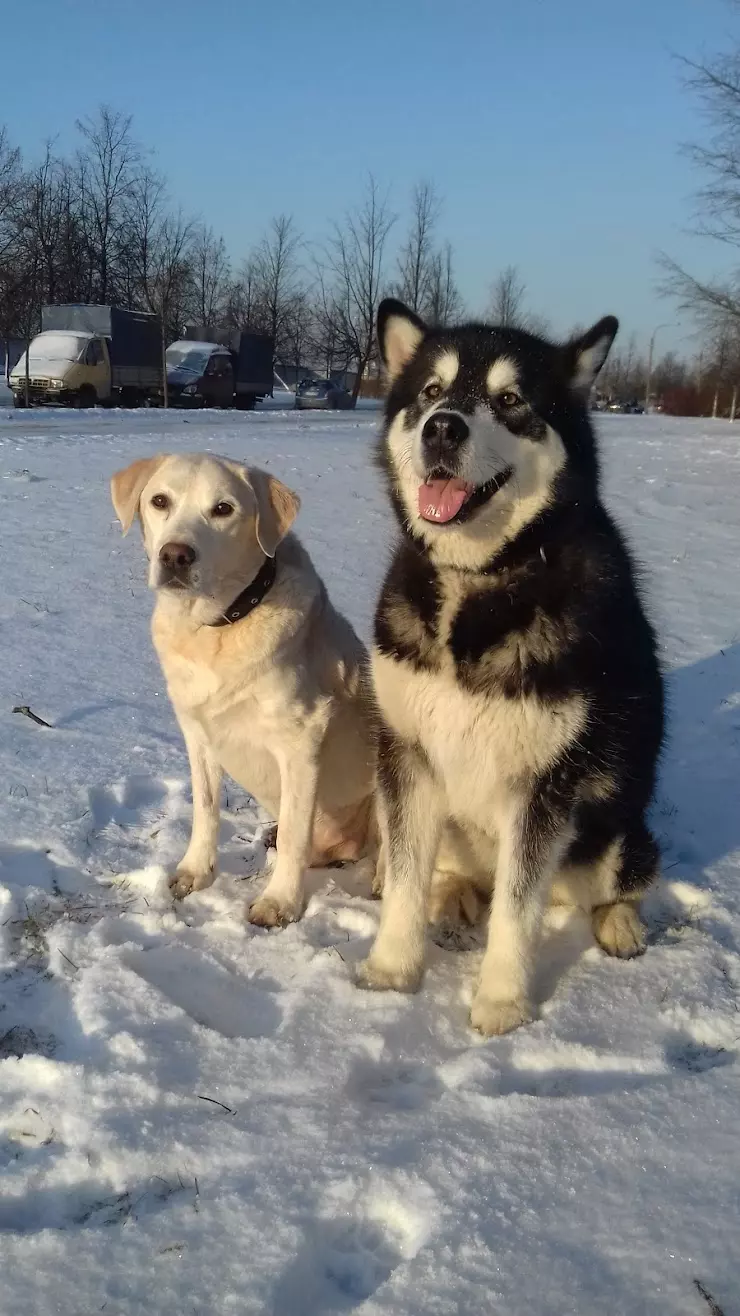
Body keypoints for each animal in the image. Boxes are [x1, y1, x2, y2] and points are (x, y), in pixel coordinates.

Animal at [110, 452, 373, 926]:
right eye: (160, 501)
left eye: (223, 509)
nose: (175, 555)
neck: (217, 625)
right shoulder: (198, 732)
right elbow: (205, 808)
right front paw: (195, 871)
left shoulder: (302, 739)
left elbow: (294, 832)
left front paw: (280, 902)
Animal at [358, 301, 663, 1037]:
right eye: (431, 391)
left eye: (510, 400)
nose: (443, 427)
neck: (479, 580)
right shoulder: (407, 756)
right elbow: (404, 880)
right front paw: (391, 972)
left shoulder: (545, 784)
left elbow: (516, 913)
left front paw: (500, 1002)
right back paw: (453, 896)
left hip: (614, 834)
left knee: (615, 885)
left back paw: (619, 925)